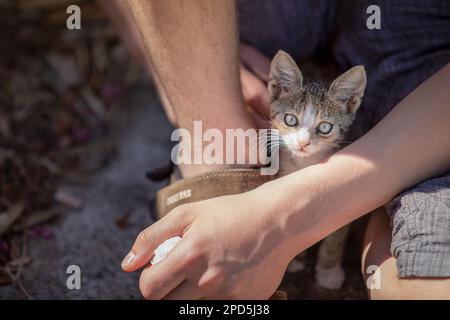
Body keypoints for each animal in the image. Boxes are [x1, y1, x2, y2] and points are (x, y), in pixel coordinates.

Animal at [268, 50, 366, 290]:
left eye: (324, 127)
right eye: (290, 119)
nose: (303, 143)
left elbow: (337, 236)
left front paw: (328, 271)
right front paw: (295, 258)